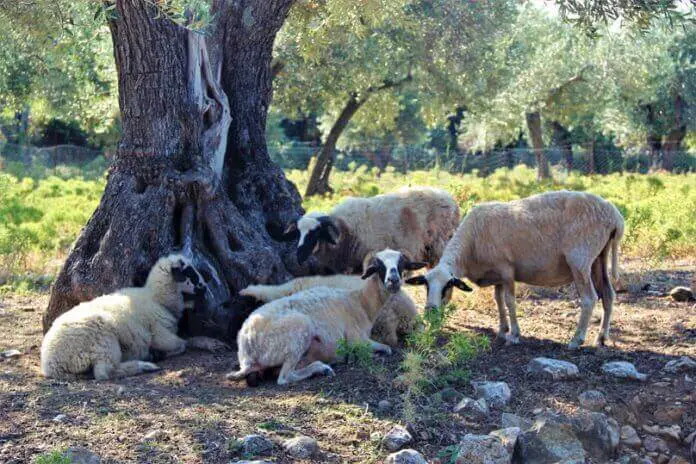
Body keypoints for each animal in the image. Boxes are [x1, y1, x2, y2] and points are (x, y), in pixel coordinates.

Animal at [40, 254, 227, 380]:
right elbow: (182, 344)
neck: (157, 299)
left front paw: (211, 342)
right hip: (102, 339)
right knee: (104, 372)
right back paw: (145, 365)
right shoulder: (160, 334)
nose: (204, 286)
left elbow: (190, 339)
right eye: (190, 272)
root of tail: (51, 362)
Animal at [280, 186, 460, 274]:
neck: (345, 229)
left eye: (316, 233)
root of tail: (451, 199)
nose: (300, 256)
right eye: (298, 233)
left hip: (440, 245)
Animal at [406, 189, 624, 348]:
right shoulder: (497, 274)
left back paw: (576, 339)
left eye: (447, 287)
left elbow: (510, 301)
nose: (430, 313)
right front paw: (502, 330)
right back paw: (601, 338)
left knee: (589, 299)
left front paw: (514, 335)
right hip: (598, 258)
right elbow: (498, 301)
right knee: (608, 294)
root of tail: (614, 215)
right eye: (426, 286)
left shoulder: (507, 270)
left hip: (580, 259)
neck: (470, 245)